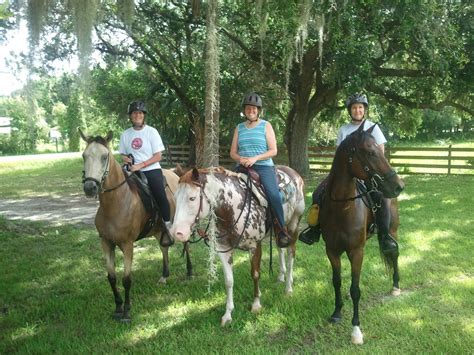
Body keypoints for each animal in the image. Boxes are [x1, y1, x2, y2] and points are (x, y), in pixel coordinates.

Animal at [80, 130, 193, 322]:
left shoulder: (127, 244)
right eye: (84, 155)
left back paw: (190, 272)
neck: (116, 203)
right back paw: (164, 276)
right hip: (157, 230)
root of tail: (176, 175)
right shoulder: (106, 243)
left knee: (186, 243)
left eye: (104, 156)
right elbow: (111, 277)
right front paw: (118, 307)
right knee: (163, 247)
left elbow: (126, 279)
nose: (89, 187)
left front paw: (126, 311)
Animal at [168, 165, 306, 326]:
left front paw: (256, 305)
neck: (232, 208)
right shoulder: (223, 249)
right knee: (280, 248)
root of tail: (294, 173)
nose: (177, 233)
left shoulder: (255, 246)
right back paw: (281, 277)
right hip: (278, 229)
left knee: (291, 253)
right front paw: (227, 314)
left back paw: (288, 288)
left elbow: (255, 274)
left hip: (293, 225)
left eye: (192, 198)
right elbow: (228, 281)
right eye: (175, 198)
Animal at [318, 124, 404, 346]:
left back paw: (396, 286)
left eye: (378, 150)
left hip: (393, 231)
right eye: (370, 153)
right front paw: (337, 312)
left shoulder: (357, 252)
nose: (399, 186)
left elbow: (355, 289)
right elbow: (337, 281)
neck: (342, 207)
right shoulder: (332, 251)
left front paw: (356, 330)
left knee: (394, 253)